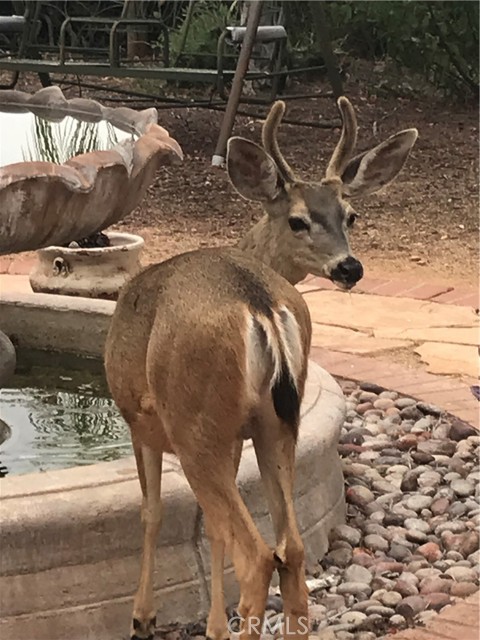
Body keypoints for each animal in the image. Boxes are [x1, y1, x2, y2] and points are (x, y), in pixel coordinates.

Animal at [104, 96, 416, 640]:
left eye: (351, 215)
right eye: (299, 220)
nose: (350, 267)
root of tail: (261, 305)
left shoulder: (138, 420)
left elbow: (153, 511)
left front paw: (143, 617)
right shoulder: (234, 436)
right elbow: (210, 530)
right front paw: (212, 624)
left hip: (193, 418)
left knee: (257, 553)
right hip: (277, 422)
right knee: (289, 547)